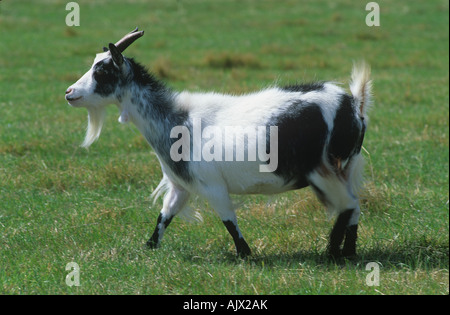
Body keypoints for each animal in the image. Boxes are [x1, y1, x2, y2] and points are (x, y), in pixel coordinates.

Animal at [65, 28, 370, 260]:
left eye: (102, 71)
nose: (70, 93)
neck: (177, 119)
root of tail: (353, 105)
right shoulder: (180, 186)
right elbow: (164, 216)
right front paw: (147, 248)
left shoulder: (213, 186)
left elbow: (229, 222)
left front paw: (246, 255)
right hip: (346, 167)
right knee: (355, 207)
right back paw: (349, 253)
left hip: (323, 170)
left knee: (347, 206)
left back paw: (332, 253)